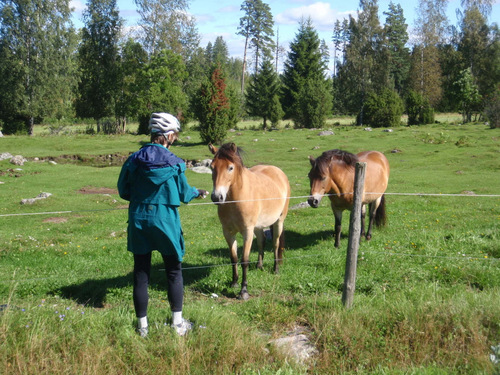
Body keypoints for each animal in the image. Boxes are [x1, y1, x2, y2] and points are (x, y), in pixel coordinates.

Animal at [209, 142, 292, 302]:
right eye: (211, 166)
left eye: (230, 167)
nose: (217, 197)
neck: (235, 200)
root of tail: (278, 172)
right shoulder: (228, 232)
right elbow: (234, 257)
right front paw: (234, 282)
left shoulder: (247, 231)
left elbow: (244, 260)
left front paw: (244, 291)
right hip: (258, 226)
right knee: (261, 241)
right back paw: (259, 266)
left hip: (279, 221)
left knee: (275, 244)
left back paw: (276, 269)